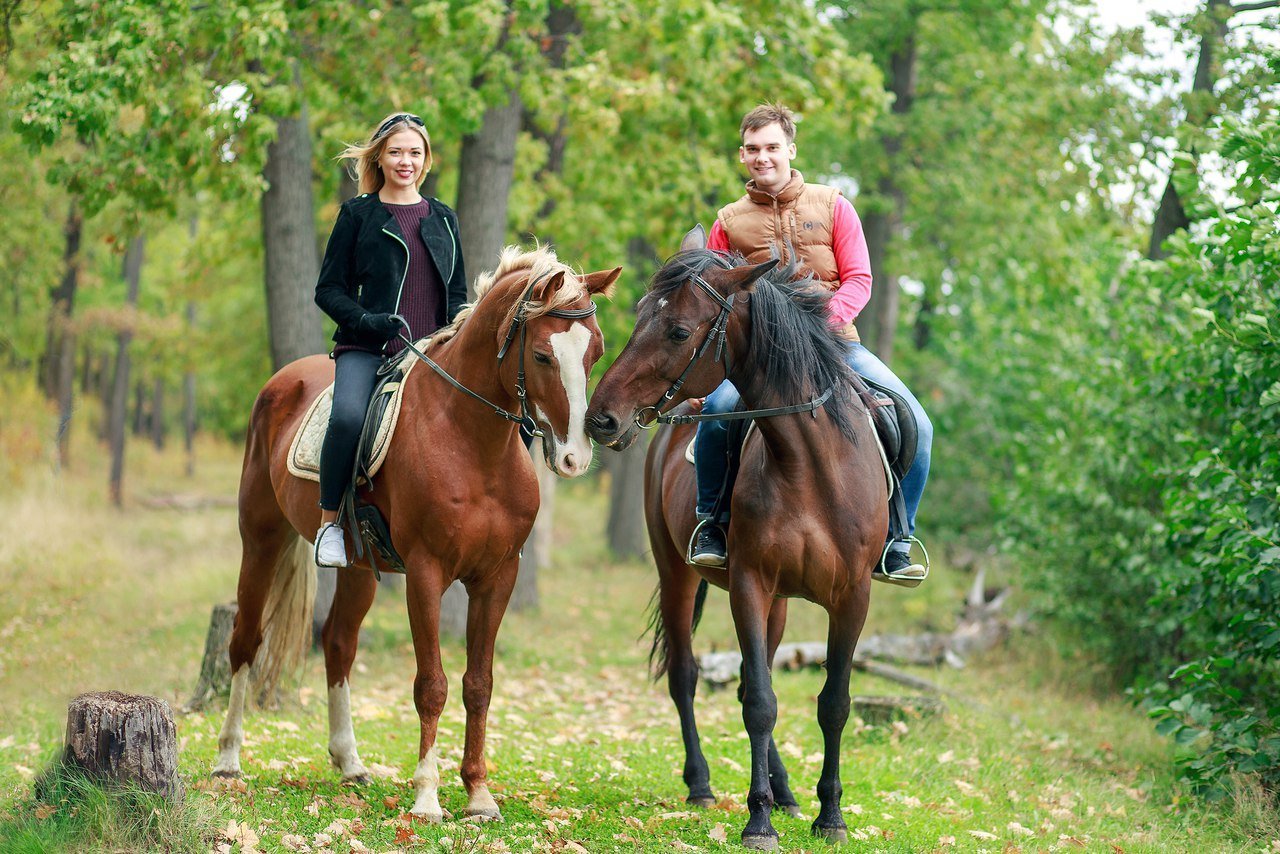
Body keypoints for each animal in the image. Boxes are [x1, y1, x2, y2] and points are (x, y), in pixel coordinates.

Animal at [211, 245, 619, 819]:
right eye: (542, 356)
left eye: (595, 352)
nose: (574, 458)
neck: (472, 442)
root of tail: (281, 381)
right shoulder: (426, 573)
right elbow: (432, 684)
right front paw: (427, 796)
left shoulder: (497, 578)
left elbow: (478, 684)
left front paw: (478, 795)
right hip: (261, 538)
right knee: (246, 640)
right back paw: (228, 759)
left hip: (359, 568)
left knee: (338, 644)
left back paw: (350, 763)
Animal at [586, 230, 885, 850]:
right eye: (639, 318)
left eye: (678, 331)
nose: (601, 419)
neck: (811, 465)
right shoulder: (749, 584)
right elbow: (761, 704)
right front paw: (758, 821)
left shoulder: (852, 597)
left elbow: (833, 703)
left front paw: (830, 816)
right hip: (677, 574)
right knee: (685, 675)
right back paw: (701, 785)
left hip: (780, 604)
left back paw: (788, 793)